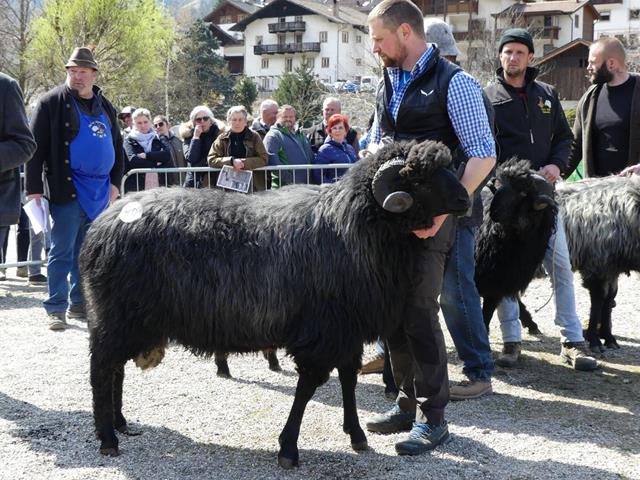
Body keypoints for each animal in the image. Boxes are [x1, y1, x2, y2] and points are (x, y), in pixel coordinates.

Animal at [80, 139, 470, 468]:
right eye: (418, 179)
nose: (466, 200)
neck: (352, 227)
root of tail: (103, 224)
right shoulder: (322, 331)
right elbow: (308, 388)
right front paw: (288, 448)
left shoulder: (346, 329)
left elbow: (347, 379)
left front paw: (356, 434)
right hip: (118, 316)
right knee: (101, 370)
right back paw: (108, 438)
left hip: (130, 321)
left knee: (115, 369)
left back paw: (120, 422)